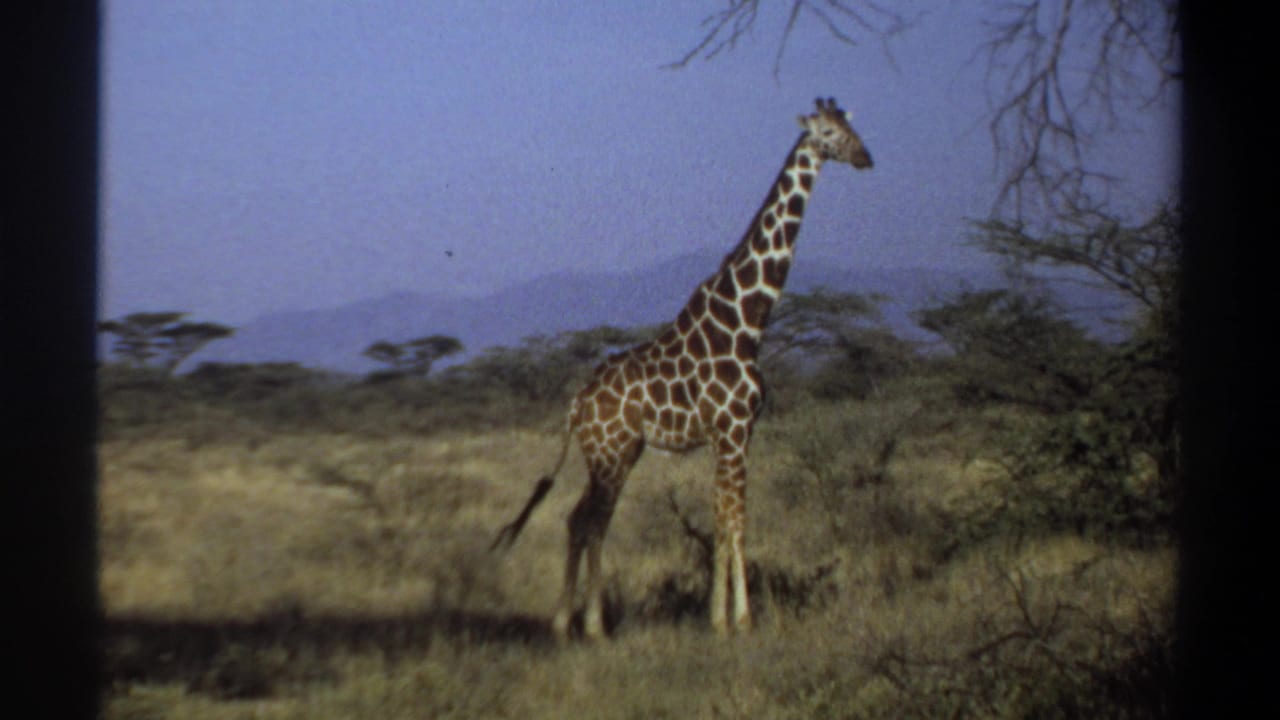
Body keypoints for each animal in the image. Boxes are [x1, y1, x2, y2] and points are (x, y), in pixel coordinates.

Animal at [491, 97, 873, 638]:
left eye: (849, 127)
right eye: (826, 133)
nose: (865, 157)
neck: (747, 319)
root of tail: (577, 403)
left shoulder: (739, 433)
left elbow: (726, 518)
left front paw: (724, 616)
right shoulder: (731, 430)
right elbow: (733, 520)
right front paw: (735, 620)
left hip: (617, 453)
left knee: (578, 519)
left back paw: (567, 622)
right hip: (610, 455)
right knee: (592, 522)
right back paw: (592, 625)